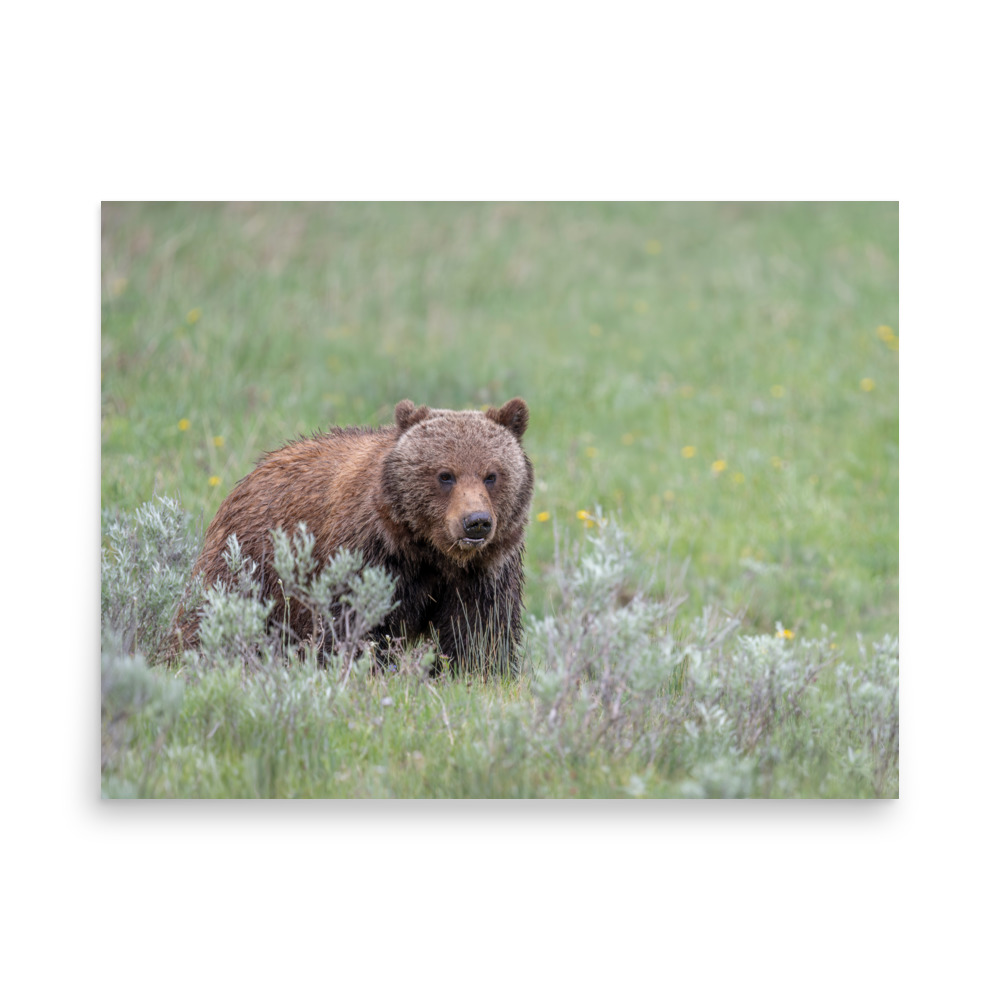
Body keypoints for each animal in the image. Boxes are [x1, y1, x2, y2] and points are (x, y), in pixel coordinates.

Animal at [169, 398, 533, 673]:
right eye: (445, 475)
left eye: (491, 475)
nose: (476, 522)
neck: (430, 551)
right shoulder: (370, 555)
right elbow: (354, 623)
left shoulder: (484, 571)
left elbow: (479, 632)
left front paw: (477, 672)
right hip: (250, 560)